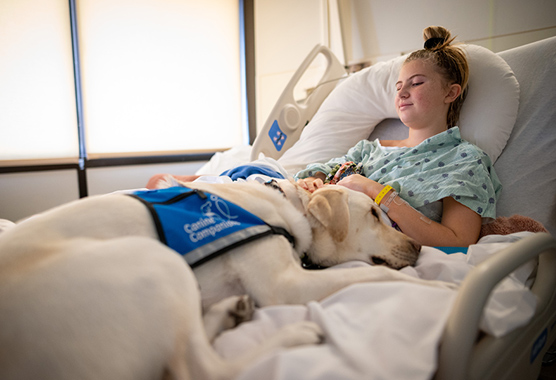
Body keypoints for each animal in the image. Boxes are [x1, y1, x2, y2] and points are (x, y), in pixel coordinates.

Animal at [1, 179, 444, 380]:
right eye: (373, 213)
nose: (419, 247)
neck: (290, 205)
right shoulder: (285, 285)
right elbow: (371, 274)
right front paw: (436, 287)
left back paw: (230, 310)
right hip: (158, 262)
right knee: (202, 368)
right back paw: (292, 334)